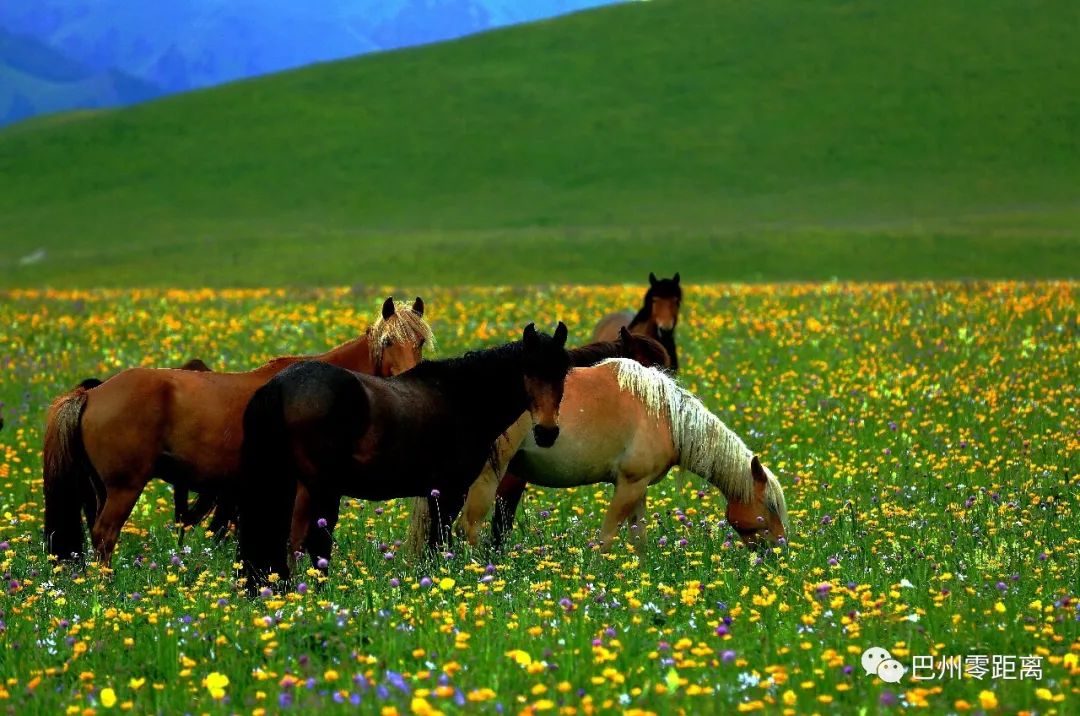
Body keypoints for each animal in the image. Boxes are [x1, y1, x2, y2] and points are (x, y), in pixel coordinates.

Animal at [44, 295, 434, 565]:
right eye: (387, 343)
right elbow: (294, 538)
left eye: (420, 343)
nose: (410, 384)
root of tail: (92, 393)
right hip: (124, 487)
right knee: (105, 535)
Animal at [236, 321, 574, 591]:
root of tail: (280, 386)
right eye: (528, 370)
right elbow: (438, 541)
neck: (461, 397)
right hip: (321, 490)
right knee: (315, 543)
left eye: (563, 372)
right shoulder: (450, 492)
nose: (547, 432)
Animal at [425, 358, 790, 552]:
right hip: (488, 475)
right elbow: (606, 538)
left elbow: (638, 539)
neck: (664, 415)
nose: (781, 553)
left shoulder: (638, 488)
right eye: (769, 509)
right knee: (468, 526)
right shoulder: (627, 485)